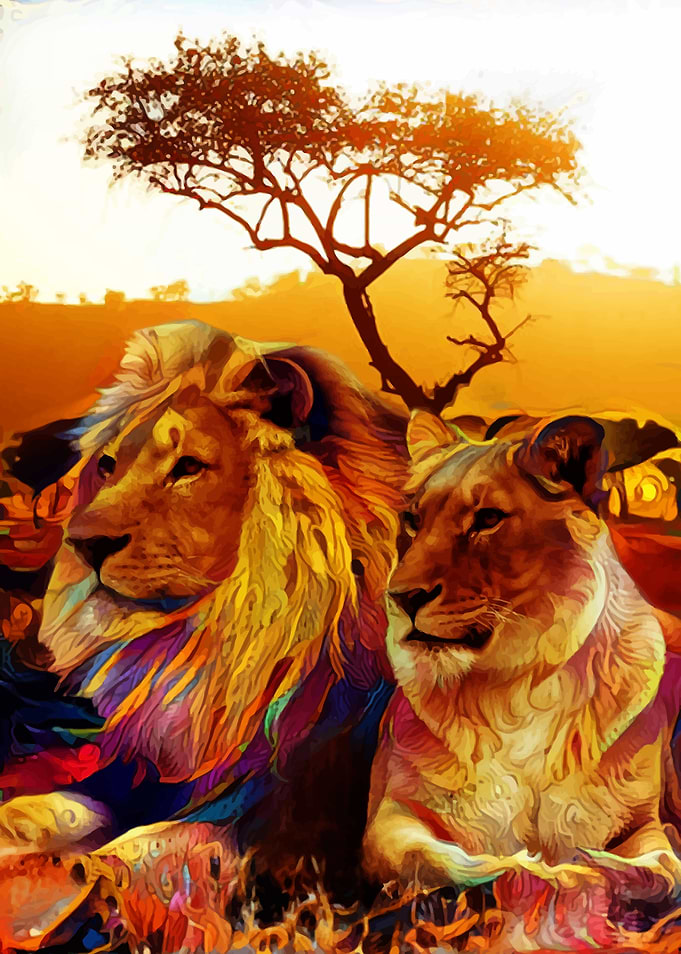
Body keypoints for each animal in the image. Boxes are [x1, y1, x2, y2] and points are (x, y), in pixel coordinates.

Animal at [0, 320, 408, 950]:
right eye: (108, 466)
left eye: (188, 466)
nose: (83, 543)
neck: (215, 643)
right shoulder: (146, 774)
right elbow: (56, 808)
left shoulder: (297, 830)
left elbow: (140, 849)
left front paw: (73, 889)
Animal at [364, 410, 681, 920]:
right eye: (412, 521)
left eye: (488, 519)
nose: (402, 597)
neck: (514, 682)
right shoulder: (391, 815)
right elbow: (438, 859)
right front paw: (542, 873)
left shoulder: (644, 824)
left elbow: (661, 870)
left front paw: (586, 872)